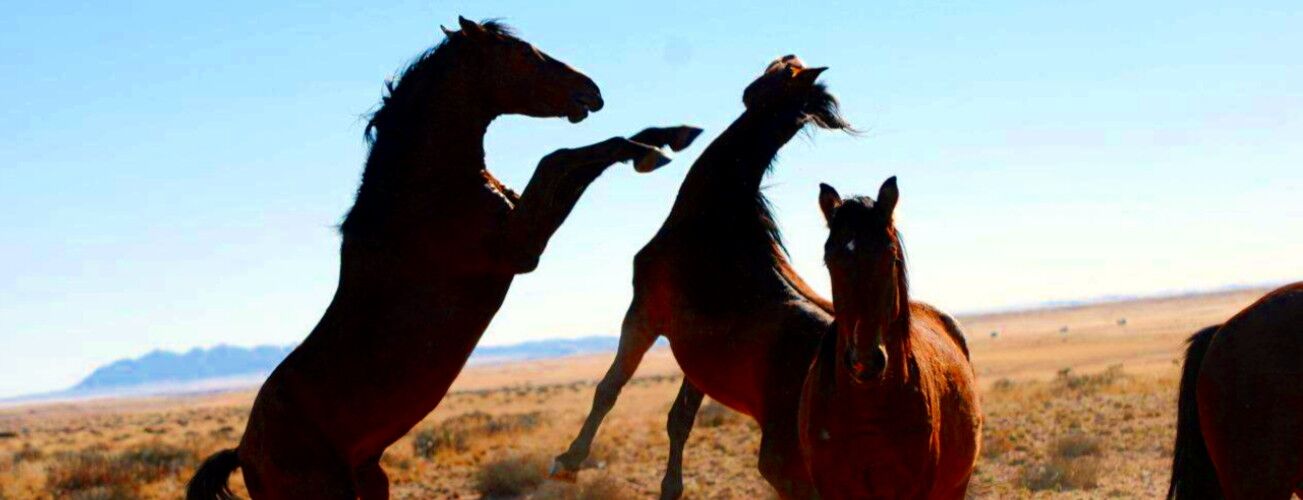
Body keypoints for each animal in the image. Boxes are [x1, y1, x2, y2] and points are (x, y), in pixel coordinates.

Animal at [185, 17, 702, 499]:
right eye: (521, 53)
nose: (591, 92)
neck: (424, 189)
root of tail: (245, 451)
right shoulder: (521, 246)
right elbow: (560, 158)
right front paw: (650, 153)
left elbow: (579, 160)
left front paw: (674, 134)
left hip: (370, 477)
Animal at [551, 55, 852, 499]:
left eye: (782, 71)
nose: (750, 86)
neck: (715, 217)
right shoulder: (695, 353)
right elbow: (680, 419)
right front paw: (670, 487)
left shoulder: (644, 314)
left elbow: (609, 388)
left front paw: (568, 462)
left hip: (785, 467)